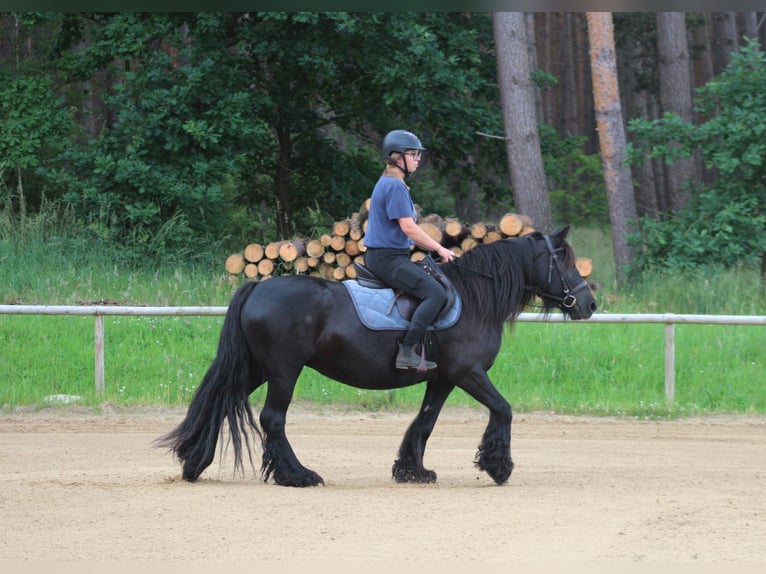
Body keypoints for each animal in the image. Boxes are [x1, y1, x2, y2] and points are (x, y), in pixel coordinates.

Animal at [158, 227, 600, 488]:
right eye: (563, 259)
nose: (590, 304)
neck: (474, 296)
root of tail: (258, 287)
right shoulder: (467, 372)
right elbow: (504, 409)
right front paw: (498, 466)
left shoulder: (442, 378)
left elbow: (425, 422)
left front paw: (412, 470)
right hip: (283, 370)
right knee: (273, 419)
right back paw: (297, 475)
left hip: (255, 368)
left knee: (221, 400)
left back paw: (194, 463)